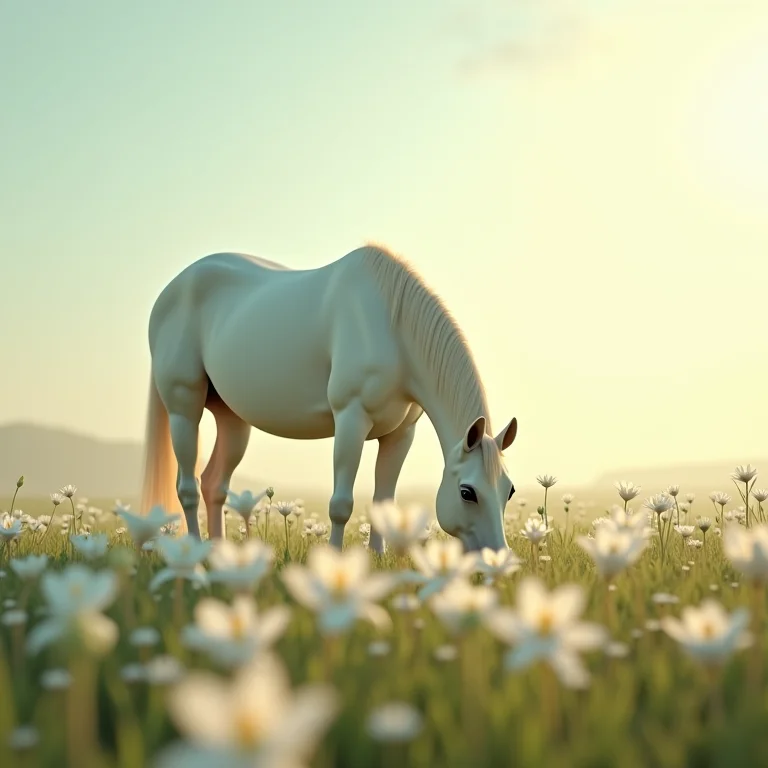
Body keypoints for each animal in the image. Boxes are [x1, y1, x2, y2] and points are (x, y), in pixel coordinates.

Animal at [140, 244, 518, 553]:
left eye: (510, 490)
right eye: (467, 492)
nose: (496, 560)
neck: (392, 327)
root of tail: (168, 293)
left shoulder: (400, 434)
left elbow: (383, 501)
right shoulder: (351, 419)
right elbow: (341, 505)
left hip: (232, 419)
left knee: (214, 484)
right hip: (183, 409)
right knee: (188, 486)